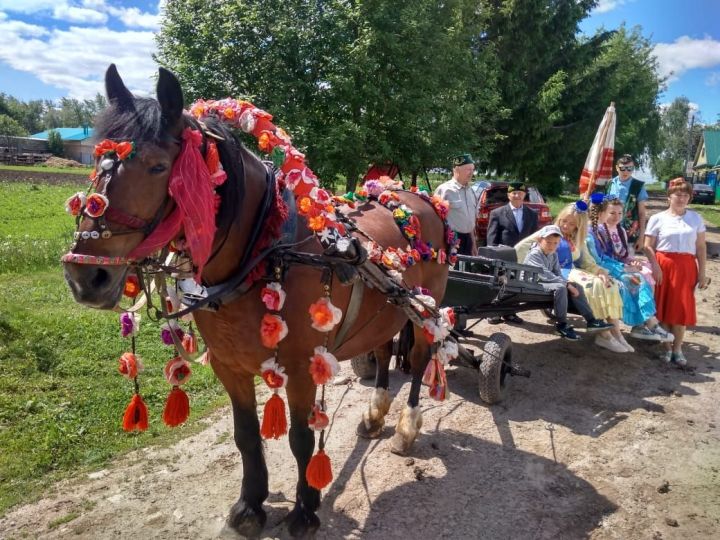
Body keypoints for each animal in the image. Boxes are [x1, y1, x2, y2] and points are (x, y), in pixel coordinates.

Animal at [62, 65, 448, 536]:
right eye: (95, 164)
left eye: (157, 166)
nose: (85, 276)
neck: (263, 253)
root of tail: (410, 196)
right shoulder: (229, 366)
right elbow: (244, 435)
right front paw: (250, 505)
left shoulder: (301, 370)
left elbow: (301, 441)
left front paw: (305, 510)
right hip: (384, 312)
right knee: (383, 352)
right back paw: (375, 416)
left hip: (427, 308)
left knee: (421, 359)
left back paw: (407, 428)